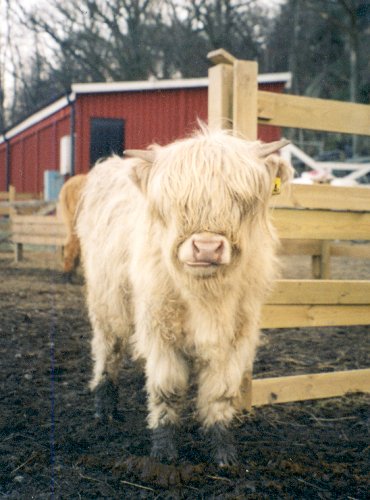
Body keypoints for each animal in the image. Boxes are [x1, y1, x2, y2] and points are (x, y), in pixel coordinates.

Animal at [76, 128, 294, 464]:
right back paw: (104, 409)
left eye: (242, 200)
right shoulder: (160, 332)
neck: (205, 296)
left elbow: (220, 392)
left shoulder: (235, 336)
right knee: (107, 351)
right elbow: (167, 389)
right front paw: (164, 451)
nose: (206, 248)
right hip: (106, 302)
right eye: (174, 203)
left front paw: (223, 450)